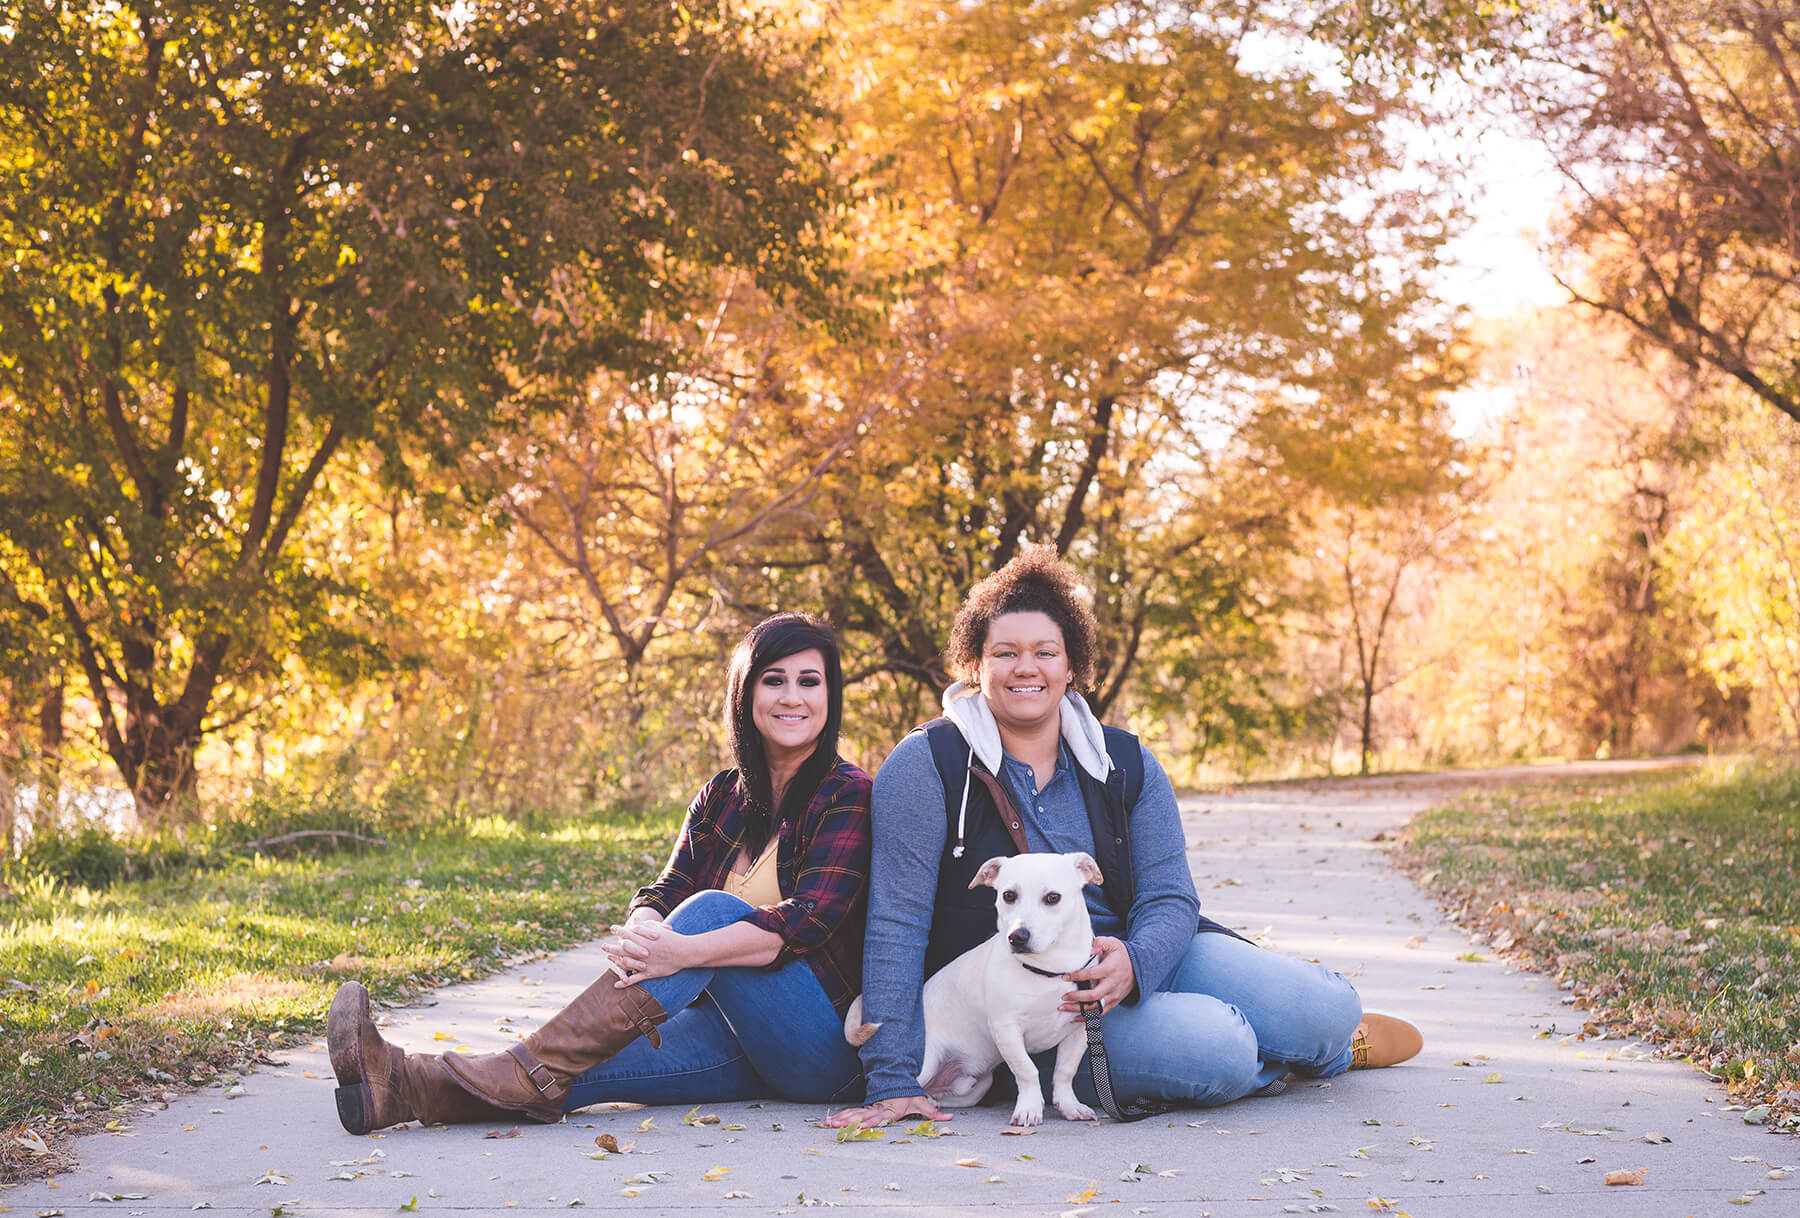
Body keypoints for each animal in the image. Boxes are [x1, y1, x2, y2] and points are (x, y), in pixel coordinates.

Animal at [849, 845, 1101, 1122]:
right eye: (1008, 895)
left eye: (1053, 898)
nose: (1017, 937)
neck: (1049, 970)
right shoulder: (1006, 1029)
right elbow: (1026, 1070)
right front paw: (1029, 1108)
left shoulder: (1080, 1028)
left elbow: (1065, 1071)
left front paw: (1069, 1105)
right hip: (928, 1061)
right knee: (909, 1084)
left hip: (978, 1087)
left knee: (937, 1095)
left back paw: (930, 1101)